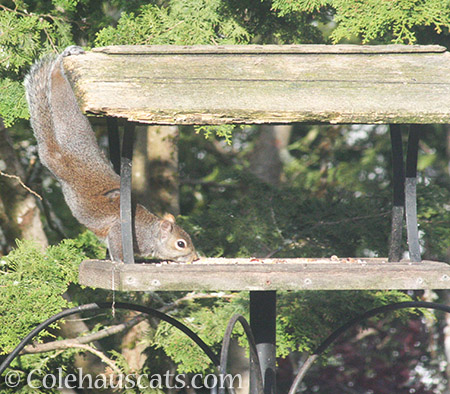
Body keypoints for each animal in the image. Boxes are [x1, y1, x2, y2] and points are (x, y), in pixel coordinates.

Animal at [25, 45, 199, 262]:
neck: (151, 233)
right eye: (180, 244)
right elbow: (117, 245)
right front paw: (121, 263)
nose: (195, 258)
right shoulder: (122, 232)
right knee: (60, 95)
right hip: (58, 151)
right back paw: (62, 62)